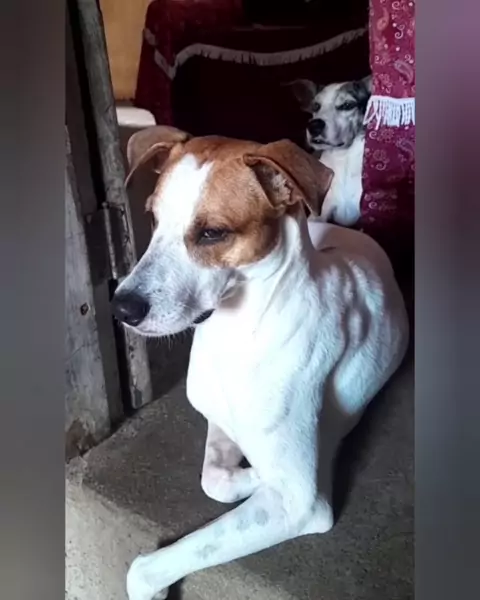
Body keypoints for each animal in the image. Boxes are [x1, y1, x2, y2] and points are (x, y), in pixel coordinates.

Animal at [112, 126, 409, 600]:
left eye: (213, 233)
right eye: (153, 218)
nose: (121, 308)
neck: (236, 335)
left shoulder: (301, 502)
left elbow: (147, 567)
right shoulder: (220, 421)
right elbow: (213, 477)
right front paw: (249, 478)